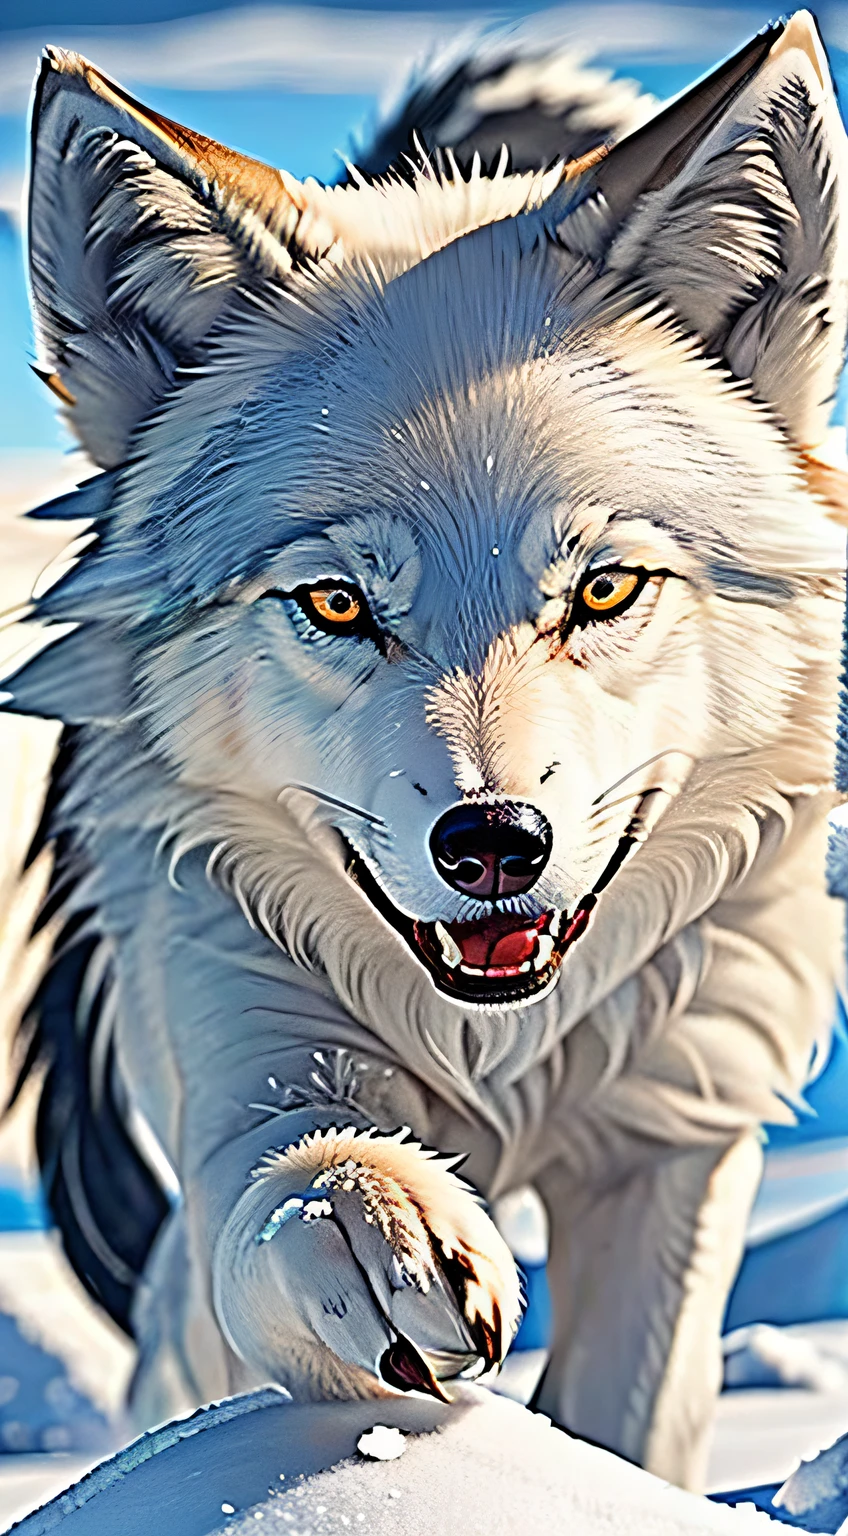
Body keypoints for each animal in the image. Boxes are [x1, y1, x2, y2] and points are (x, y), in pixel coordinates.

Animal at [5, 10, 848, 1492]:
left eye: (603, 590)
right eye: (339, 604)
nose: (493, 845)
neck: (497, 1052)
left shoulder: (673, 1143)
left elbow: (632, 1405)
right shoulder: (235, 1032)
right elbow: (293, 1173)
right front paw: (370, 1223)